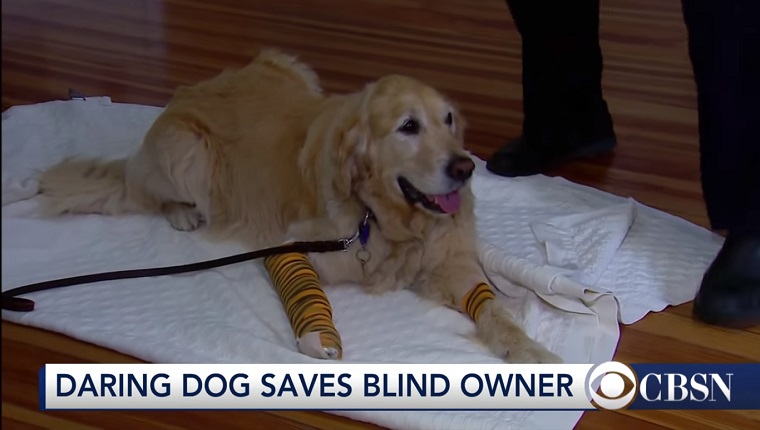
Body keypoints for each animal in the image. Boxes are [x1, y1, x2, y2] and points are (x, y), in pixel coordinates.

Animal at [40, 47, 560, 362]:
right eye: (408, 127)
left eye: (449, 119)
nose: (465, 167)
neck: (385, 219)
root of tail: (184, 92)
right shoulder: (289, 247)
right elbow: (311, 296)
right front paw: (319, 337)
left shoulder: (452, 262)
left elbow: (494, 310)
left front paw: (528, 349)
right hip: (184, 151)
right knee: (147, 192)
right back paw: (184, 211)